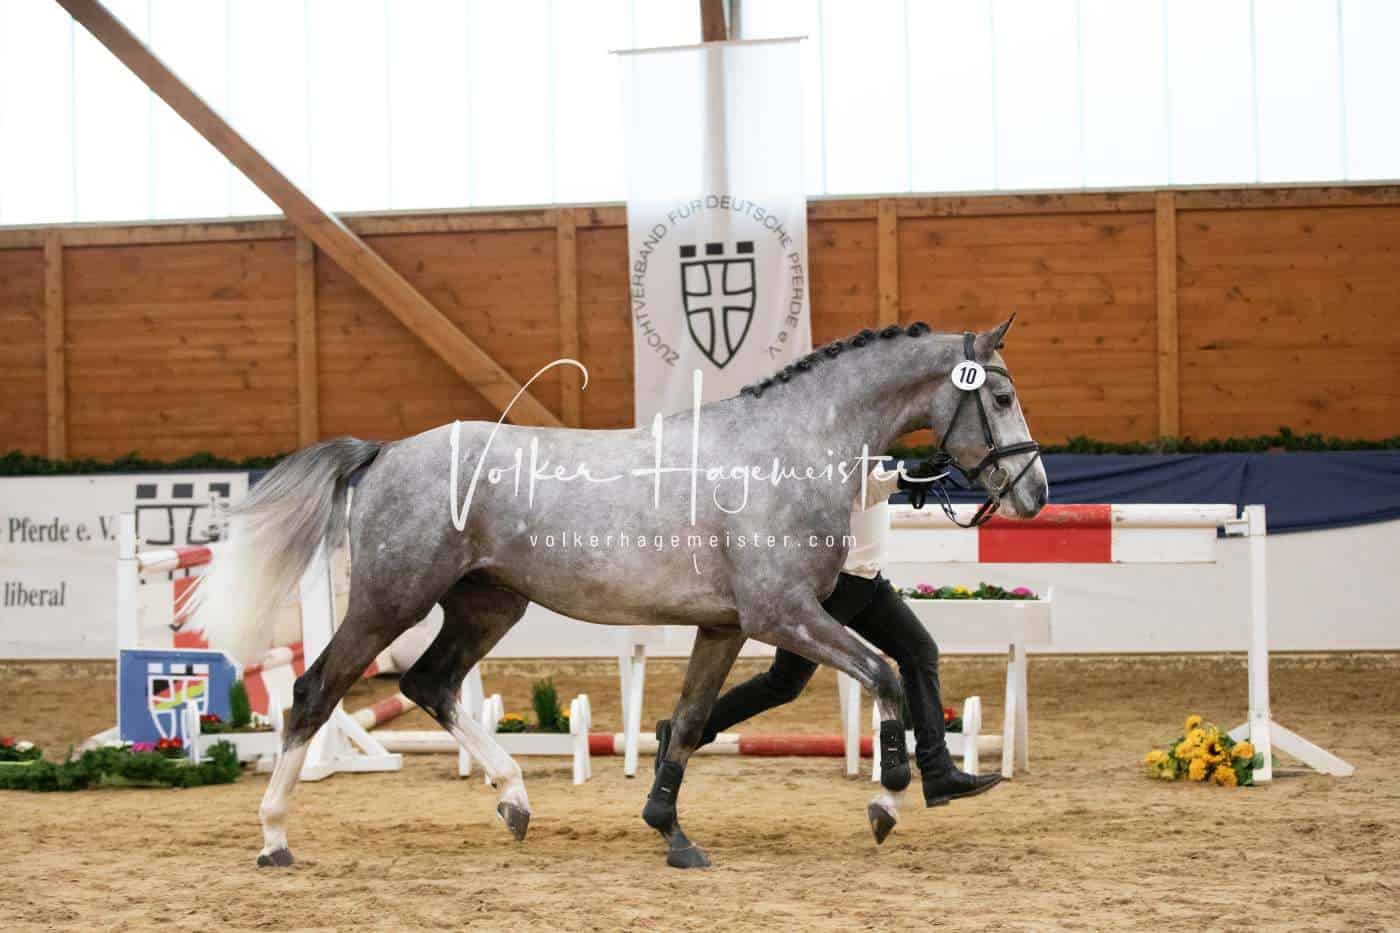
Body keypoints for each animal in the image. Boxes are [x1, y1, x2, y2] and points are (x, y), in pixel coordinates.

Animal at [189, 315, 1048, 870]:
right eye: (1002, 397)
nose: (1035, 491)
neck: (789, 448)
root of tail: (385, 452)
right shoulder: (785, 615)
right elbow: (886, 674)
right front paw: (887, 804)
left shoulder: (728, 625)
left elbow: (691, 721)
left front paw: (671, 831)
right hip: (387, 602)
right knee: (315, 691)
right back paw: (274, 838)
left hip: (487, 602)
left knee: (429, 682)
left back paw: (514, 800)